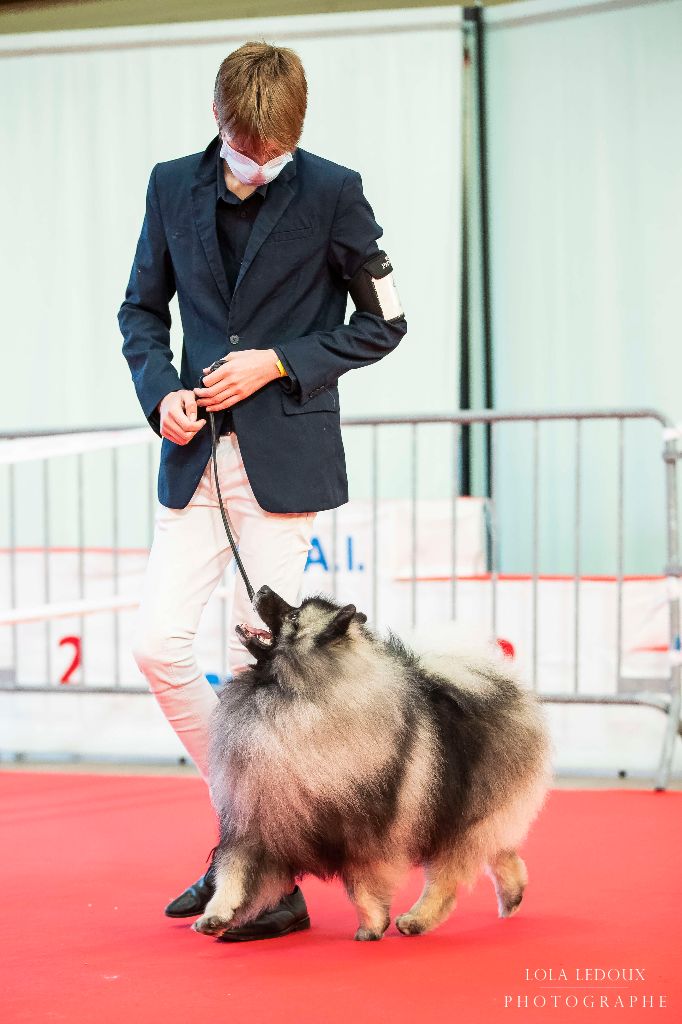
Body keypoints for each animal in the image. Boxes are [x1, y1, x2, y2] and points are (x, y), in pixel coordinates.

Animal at [192, 585, 552, 942]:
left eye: (294, 616)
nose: (263, 588)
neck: (295, 697)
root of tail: (504, 686)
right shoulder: (255, 819)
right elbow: (234, 873)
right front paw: (215, 915)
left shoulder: (365, 831)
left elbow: (362, 885)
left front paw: (372, 926)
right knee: (501, 852)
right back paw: (512, 897)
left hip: (460, 818)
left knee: (449, 877)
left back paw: (417, 920)